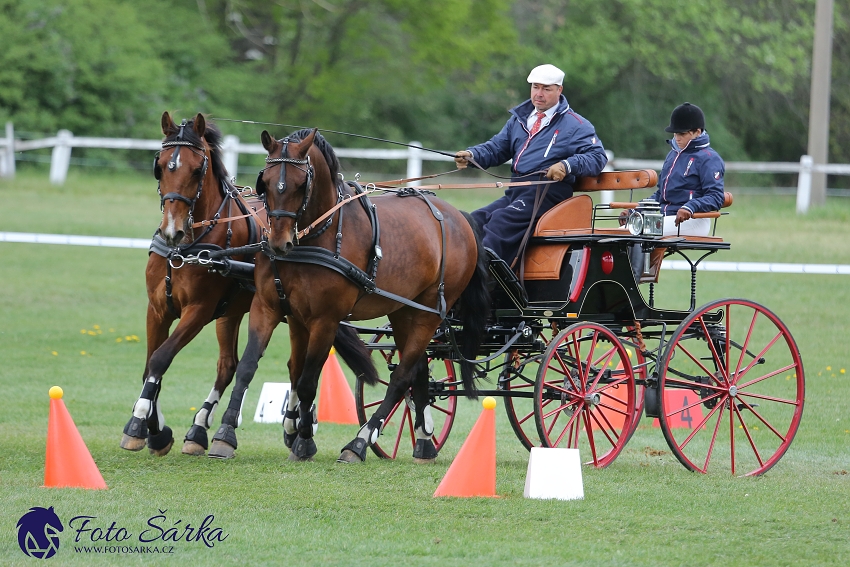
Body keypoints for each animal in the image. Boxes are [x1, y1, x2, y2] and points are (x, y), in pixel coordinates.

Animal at [122, 113, 378, 460]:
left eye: (198, 169)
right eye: (160, 166)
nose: (172, 230)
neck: (189, 246)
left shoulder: (199, 310)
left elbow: (162, 358)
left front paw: (144, 427)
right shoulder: (158, 309)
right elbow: (151, 365)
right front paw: (153, 428)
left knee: (289, 367)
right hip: (241, 313)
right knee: (234, 366)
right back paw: (203, 429)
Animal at [208, 129, 486, 462]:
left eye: (301, 184)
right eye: (266, 181)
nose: (278, 243)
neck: (316, 238)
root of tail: (457, 216)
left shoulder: (325, 320)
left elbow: (307, 382)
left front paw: (303, 441)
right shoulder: (270, 308)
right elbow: (250, 368)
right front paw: (225, 434)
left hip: (428, 313)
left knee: (400, 378)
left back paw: (359, 442)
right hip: (403, 311)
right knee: (418, 372)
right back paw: (424, 442)